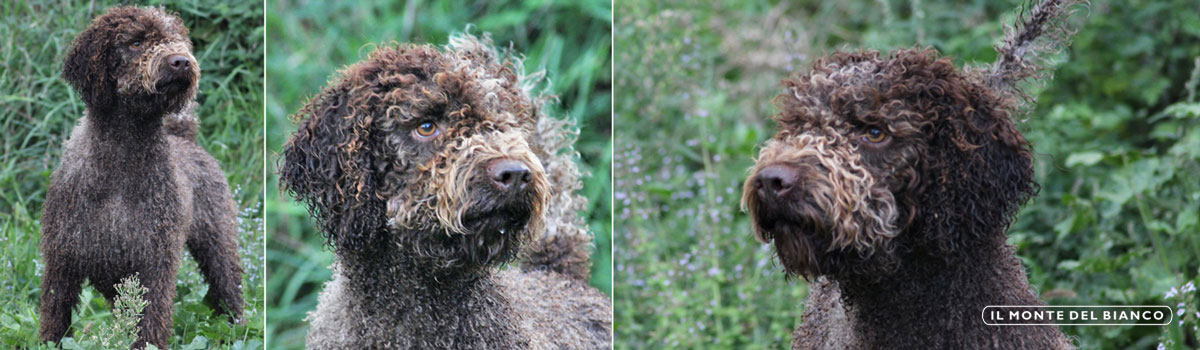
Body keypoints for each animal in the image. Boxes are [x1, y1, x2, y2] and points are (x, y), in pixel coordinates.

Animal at [39, 6, 242, 350]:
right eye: (135, 42)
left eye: (176, 38)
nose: (181, 61)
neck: (121, 163)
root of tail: (185, 138)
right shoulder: (62, 261)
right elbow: (55, 320)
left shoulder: (154, 266)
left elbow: (150, 326)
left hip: (219, 243)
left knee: (230, 295)